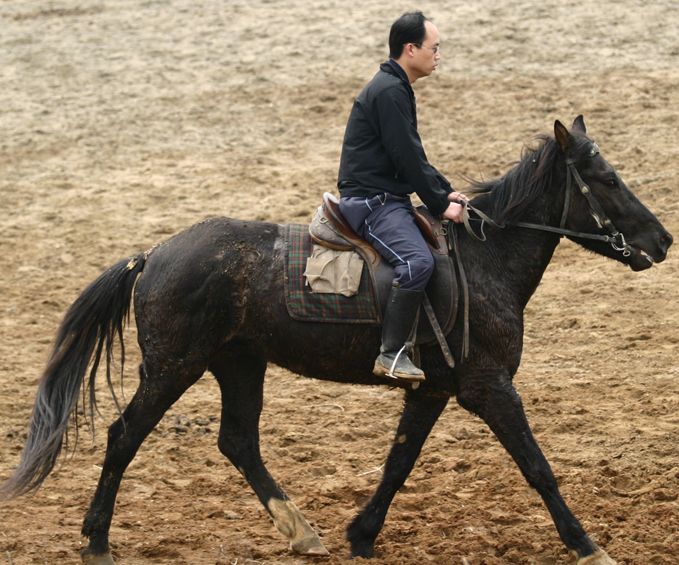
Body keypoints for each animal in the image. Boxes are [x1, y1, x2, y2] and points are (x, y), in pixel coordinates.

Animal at [0, 118, 672, 564]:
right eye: (607, 179)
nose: (663, 240)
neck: (484, 261)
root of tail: (155, 253)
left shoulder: (432, 390)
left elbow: (399, 463)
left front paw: (362, 535)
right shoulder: (489, 387)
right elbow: (537, 466)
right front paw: (587, 545)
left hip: (238, 364)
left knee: (238, 441)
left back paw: (301, 531)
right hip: (172, 368)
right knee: (124, 437)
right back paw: (96, 540)